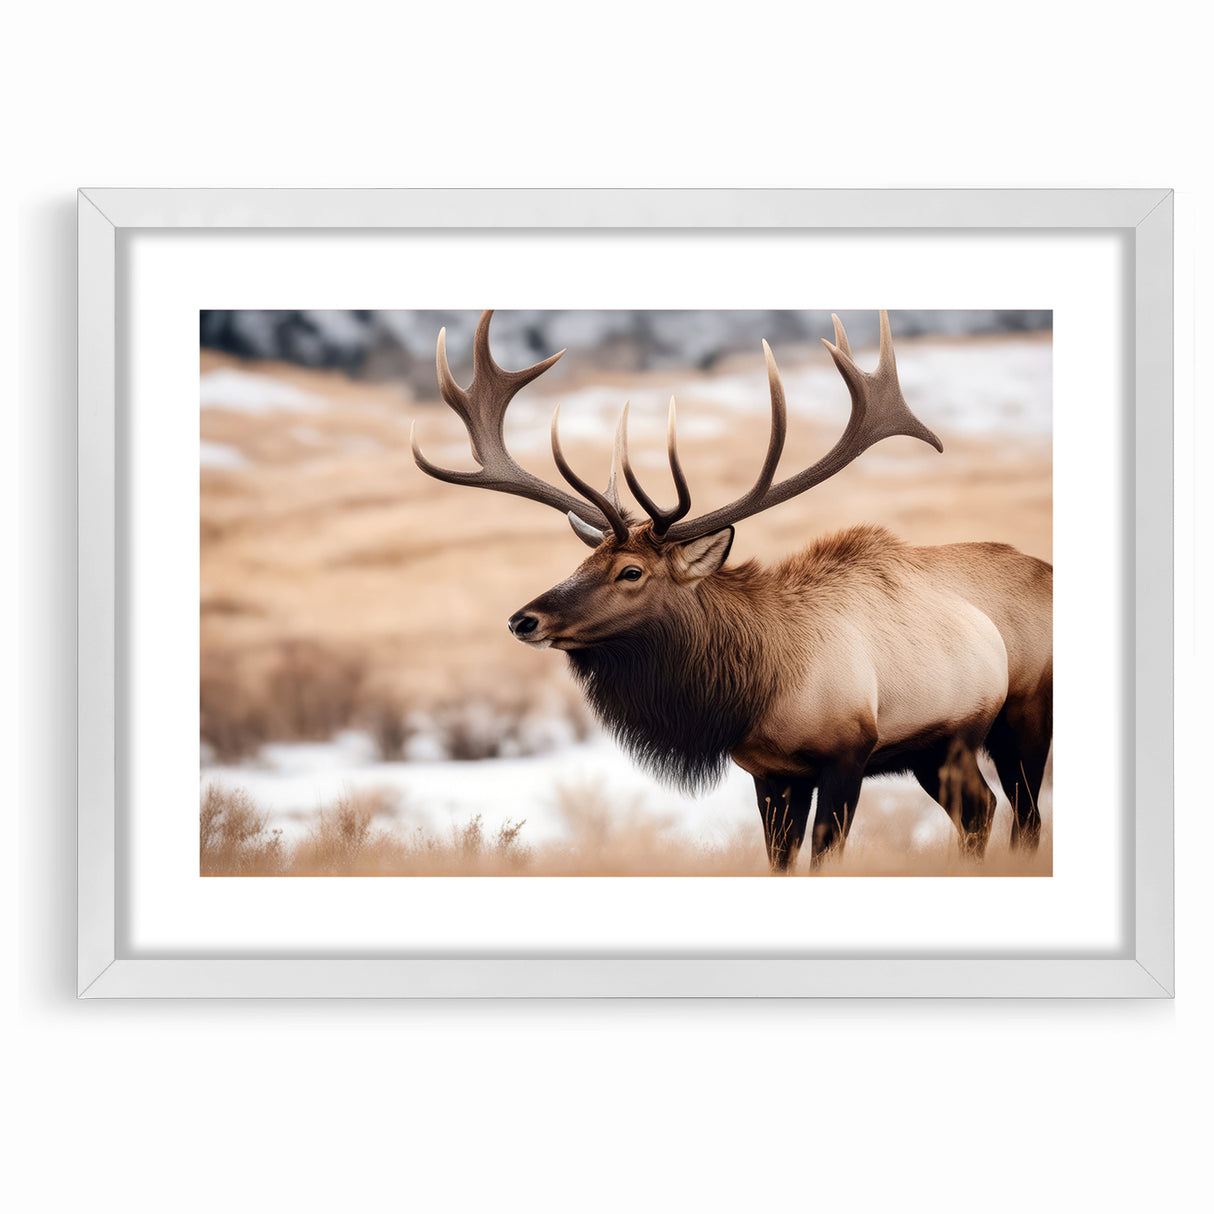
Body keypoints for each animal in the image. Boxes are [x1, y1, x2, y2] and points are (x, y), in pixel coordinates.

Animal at [412, 311, 1052, 871]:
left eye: (631, 572)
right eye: (585, 558)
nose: (524, 619)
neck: (758, 691)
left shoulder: (849, 751)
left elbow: (825, 856)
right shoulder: (771, 772)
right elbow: (779, 862)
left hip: (1019, 716)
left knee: (1023, 815)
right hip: (938, 749)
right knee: (982, 814)